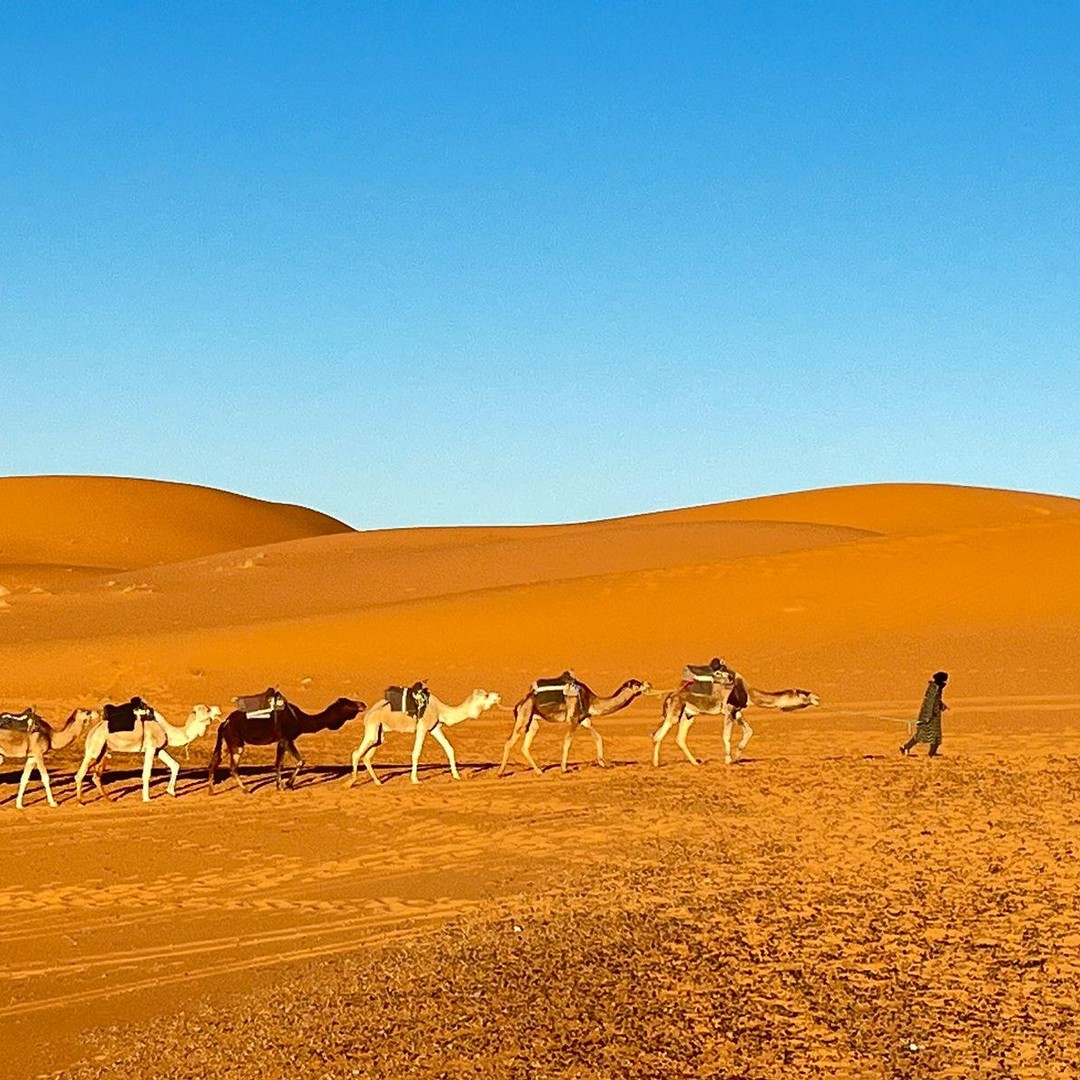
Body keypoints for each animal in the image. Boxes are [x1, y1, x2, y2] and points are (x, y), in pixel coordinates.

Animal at [75, 704, 220, 803]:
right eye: (207, 710)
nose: (218, 709)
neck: (166, 729)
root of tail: (93, 730)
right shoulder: (151, 747)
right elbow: (146, 774)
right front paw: (147, 799)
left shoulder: (158, 749)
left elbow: (175, 765)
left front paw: (171, 792)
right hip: (95, 748)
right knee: (80, 774)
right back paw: (80, 801)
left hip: (103, 750)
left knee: (95, 776)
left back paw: (109, 799)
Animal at [207, 696, 364, 793]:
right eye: (349, 703)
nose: (363, 704)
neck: (301, 720)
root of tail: (225, 722)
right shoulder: (285, 739)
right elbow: (285, 763)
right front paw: (284, 785)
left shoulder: (286, 740)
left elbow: (291, 762)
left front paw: (285, 785)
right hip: (236, 742)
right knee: (233, 768)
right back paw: (245, 790)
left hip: (228, 743)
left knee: (214, 762)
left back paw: (211, 791)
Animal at [349, 688, 501, 787]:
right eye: (486, 695)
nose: (498, 696)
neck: (440, 709)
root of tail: (368, 714)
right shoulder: (422, 726)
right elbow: (416, 752)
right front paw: (415, 779)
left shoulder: (435, 727)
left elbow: (449, 748)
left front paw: (457, 776)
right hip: (373, 728)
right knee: (356, 753)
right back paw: (351, 782)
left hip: (379, 733)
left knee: (368, 756)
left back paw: (378, 782)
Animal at [498, 676, 650, 776]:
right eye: (638, 684)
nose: (648, 684)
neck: (591, 700)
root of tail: (519, 703)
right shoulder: (573, 719)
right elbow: (567, 742)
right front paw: (564, 769)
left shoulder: (584, 719)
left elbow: (598, 737)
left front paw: (603, 763)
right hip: (524, 717)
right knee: (509, 742)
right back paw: (501, 772)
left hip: (533, 720)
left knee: (525, 745)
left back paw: (539, 771)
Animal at [653, 672, 819, 767]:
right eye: (804, 693)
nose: (817, 698)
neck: (748, 692)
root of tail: (671, 695)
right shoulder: (729, 709)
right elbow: (726, 736)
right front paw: (728, 760)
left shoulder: (737, 711)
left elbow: (749, 731)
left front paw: (737, 756)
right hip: (675, 711)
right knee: (659, 735)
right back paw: (656, 764)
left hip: (689, 714)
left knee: (679, 737)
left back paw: (695, 763)